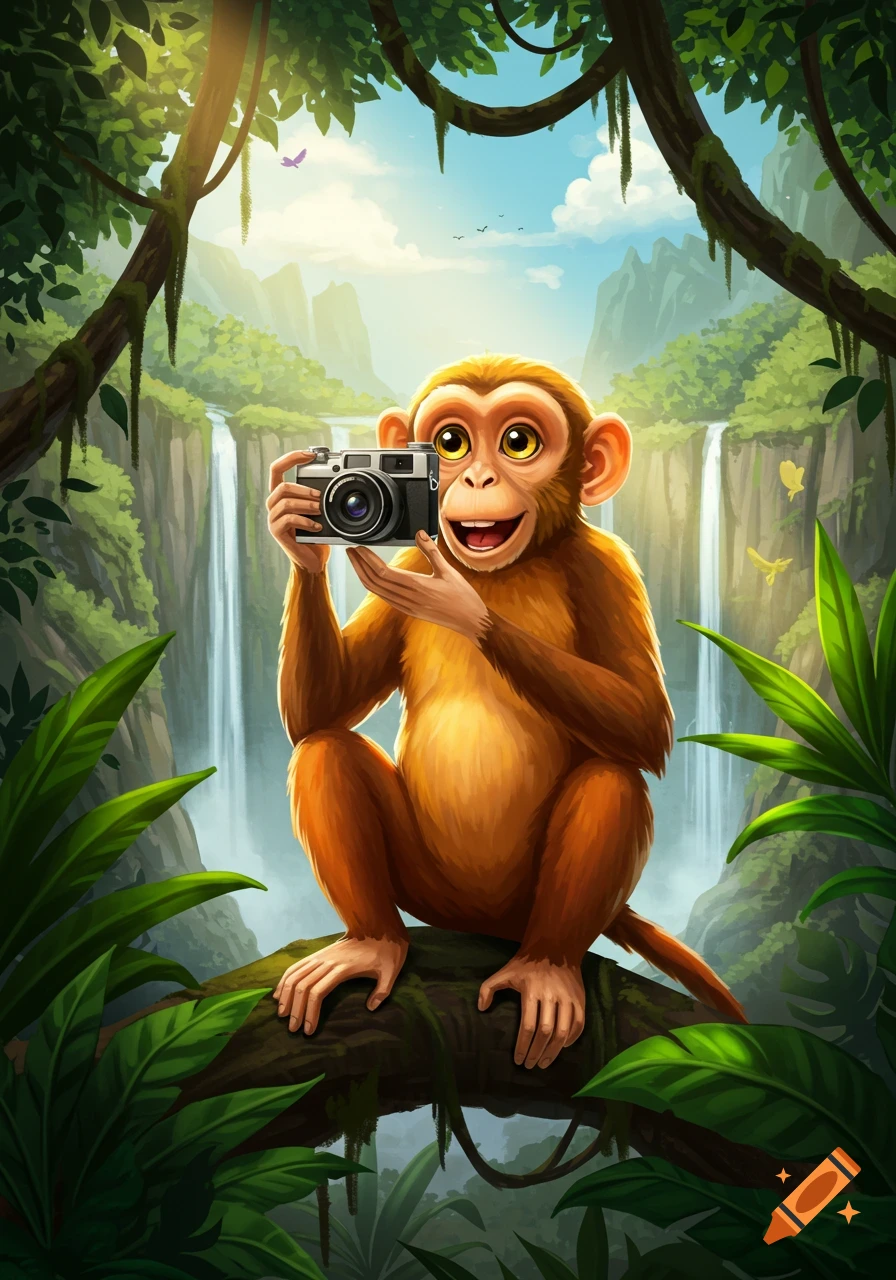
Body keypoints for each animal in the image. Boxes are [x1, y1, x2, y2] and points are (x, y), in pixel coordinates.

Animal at [266, 353, 746, 1071]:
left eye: (518, 442)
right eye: (451, 443)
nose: (475, 476)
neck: (504, 570)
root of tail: (482, 928)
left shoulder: (609, 566)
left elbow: (644, 720)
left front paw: (466, 611)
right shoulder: (411, 556)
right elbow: (317, 711)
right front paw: (297, 537)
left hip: (525, 909)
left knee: (612, 778)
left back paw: (546, 970)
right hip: (427, 892)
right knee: (325, 749)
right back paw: (372, 943)